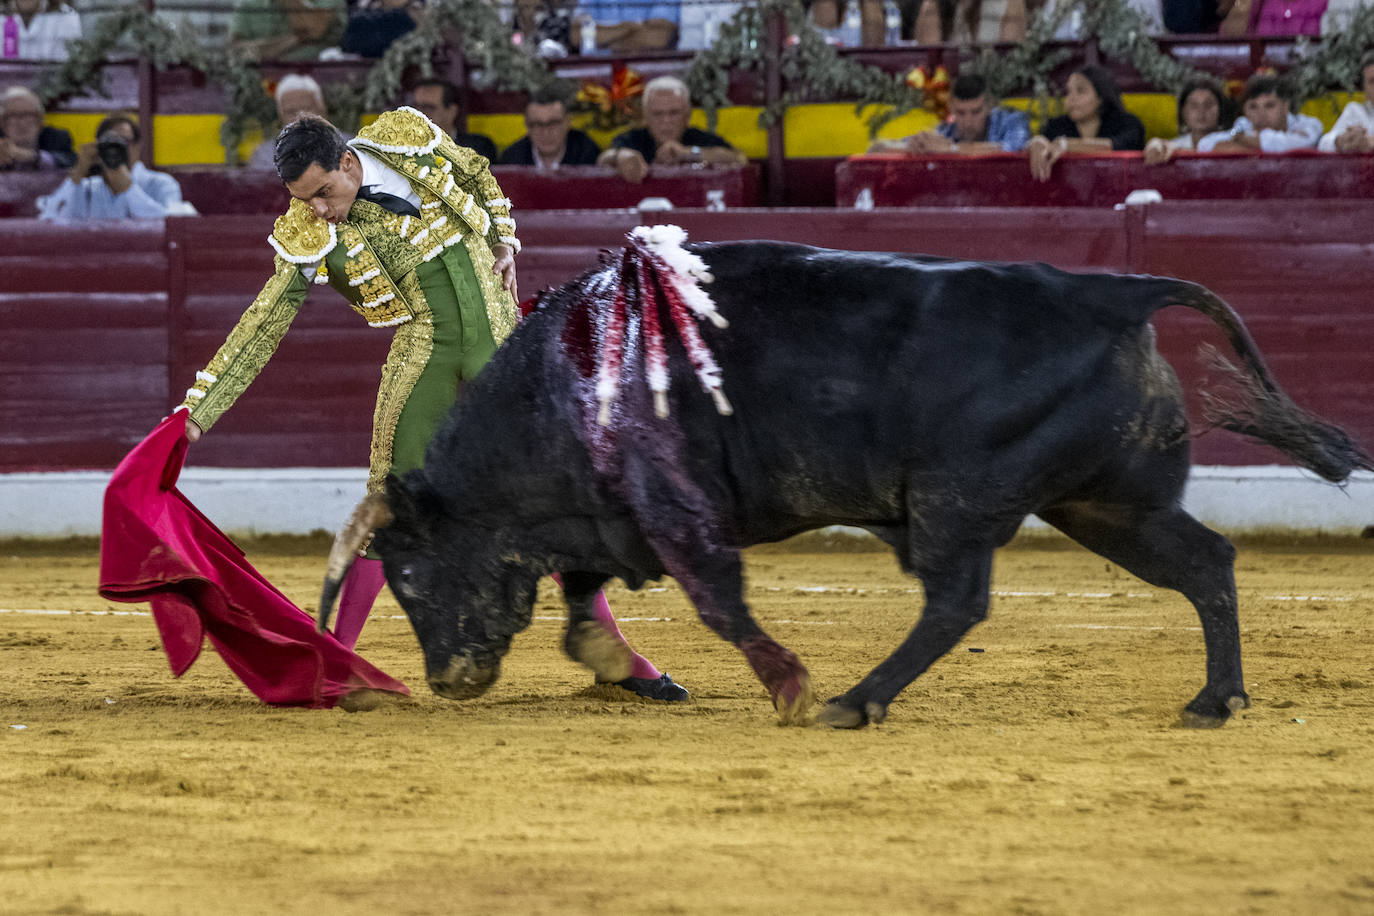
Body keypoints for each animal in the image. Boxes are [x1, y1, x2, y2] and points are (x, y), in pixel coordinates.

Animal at [318, 230, 1363, 730]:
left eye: (409, 573)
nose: (448, 681)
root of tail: (1111, 290)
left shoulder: (676, 516)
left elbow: (718, 603)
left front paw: (785, 683)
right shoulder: (611, 516)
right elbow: (583, 589)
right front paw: (611, 660)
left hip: (957, 500)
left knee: (957, 601)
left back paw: (851, 701)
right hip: (1108, 502)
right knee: (1207, 563)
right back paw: (1215, 702)